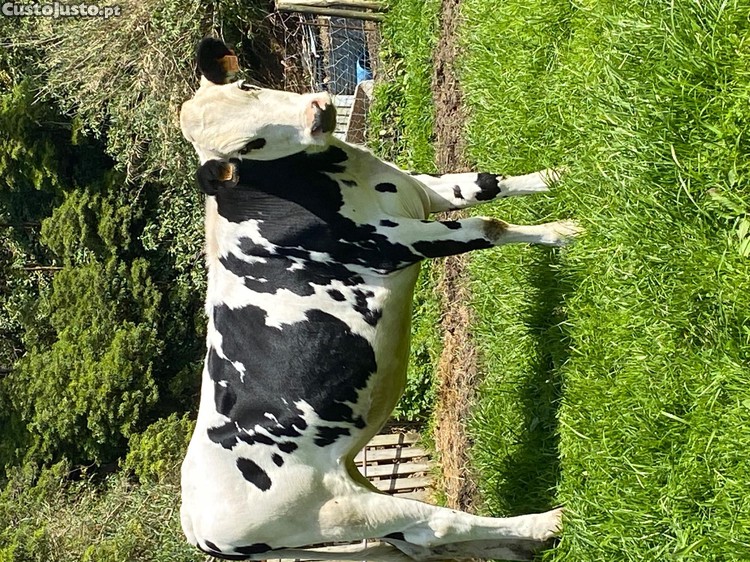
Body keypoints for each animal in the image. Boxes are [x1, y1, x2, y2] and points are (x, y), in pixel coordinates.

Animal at [178, 37, 577, 562]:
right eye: (248, 148)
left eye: (247, 86)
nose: (317, 112)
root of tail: (196, 526)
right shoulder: (391, 243)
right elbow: (487, 226)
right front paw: (567, 231)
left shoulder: (416, 190)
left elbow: (483, 185)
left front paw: (561, 174)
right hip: (339, 510)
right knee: (436, 526)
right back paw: (550, 521)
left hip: (352, 486)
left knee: (417, 544)